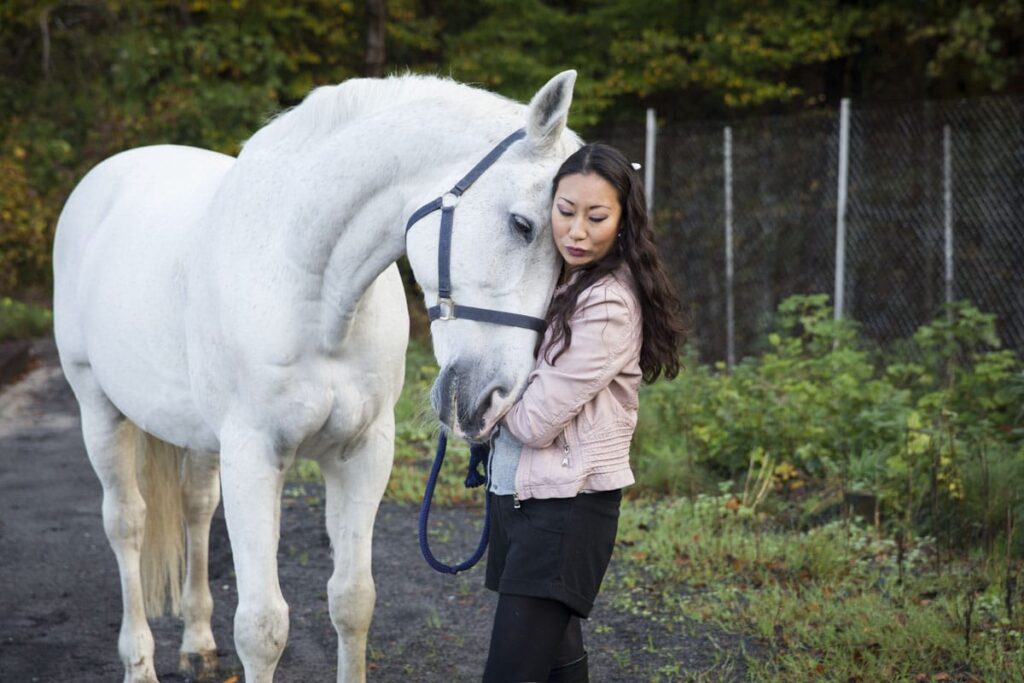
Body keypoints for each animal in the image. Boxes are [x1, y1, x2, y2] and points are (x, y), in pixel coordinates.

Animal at [54, 72, 577, 679]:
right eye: (523, 225)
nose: (492, 397)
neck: (311, 289)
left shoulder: (363, 454)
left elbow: (353, 601)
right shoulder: (254, 456)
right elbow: (262, 627)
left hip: (199, 438)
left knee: (195, 509)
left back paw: (197, 642)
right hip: (98, 409)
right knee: (127, 524)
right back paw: (139, 661)